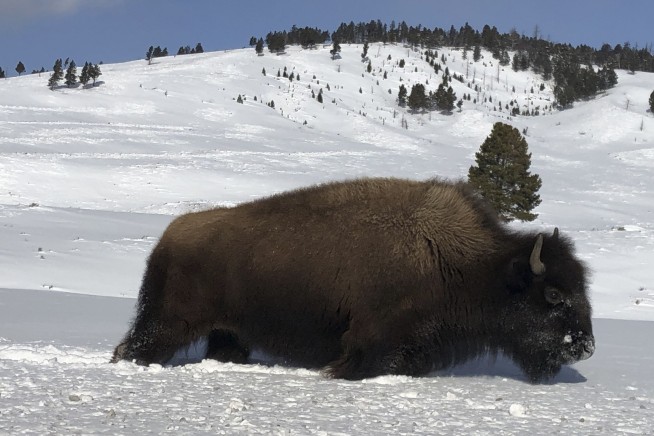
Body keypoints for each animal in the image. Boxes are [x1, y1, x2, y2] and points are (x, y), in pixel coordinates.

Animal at [112, 177, 594, 382]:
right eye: (553, 295)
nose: (586, 347)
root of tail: (170, 235)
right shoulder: (373, 337)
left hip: (228, 332)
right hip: (169, 323)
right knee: (133, 347)